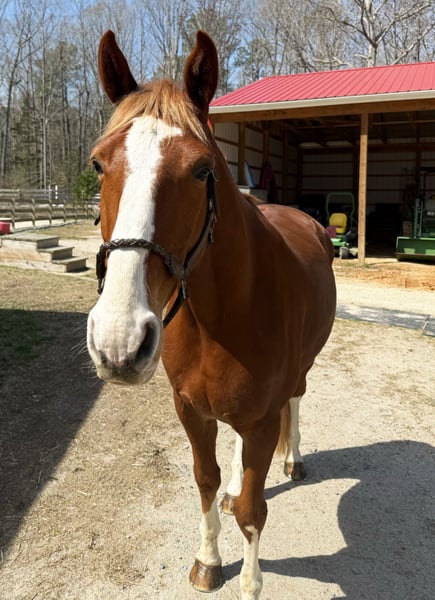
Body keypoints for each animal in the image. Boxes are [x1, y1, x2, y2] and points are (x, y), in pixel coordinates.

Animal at [87, 29, 336, 599]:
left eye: (202, 169)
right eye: (97, 164)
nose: (118, 341)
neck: (223, 317)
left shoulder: (263, 420)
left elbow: (252, 510)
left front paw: (250, 582)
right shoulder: (192, 411)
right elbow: (207, 482)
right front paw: (208, 560)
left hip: (299, 377)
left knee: (296, 402)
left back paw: (294, 460)